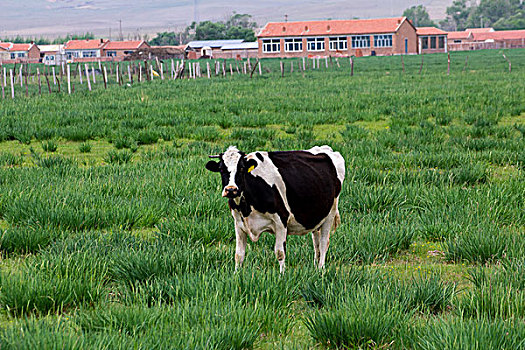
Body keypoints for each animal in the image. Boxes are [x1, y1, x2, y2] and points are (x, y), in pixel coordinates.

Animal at [205, 145, 344, 274]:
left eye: (241, 168)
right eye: (221, 169)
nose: (231, 189)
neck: (246, 208)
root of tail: (325, 149)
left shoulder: (281, 220)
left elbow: (280, 252)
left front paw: (282, 275)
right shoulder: (239, 223)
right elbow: (239, 254)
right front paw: (236, 274)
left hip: (330, 213)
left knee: (324, 242)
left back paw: (321, 269)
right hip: (316, 216)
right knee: (316, 243)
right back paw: (315, 267)